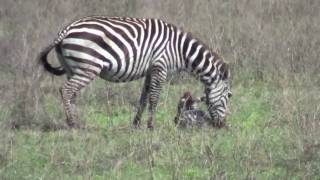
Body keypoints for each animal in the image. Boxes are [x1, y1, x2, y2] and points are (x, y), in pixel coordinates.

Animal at [38, 15, 231, 128]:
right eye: (229, 96)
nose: (222, 125)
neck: (180, 49)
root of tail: (67, 29)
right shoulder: (160, 67)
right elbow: (154, 98)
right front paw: (151, 126)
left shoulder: (150, 71)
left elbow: (143, 98)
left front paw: (136, 124)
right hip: (88, 67)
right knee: (66, 90)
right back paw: (72, 124)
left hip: (73, 68)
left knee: (73, 94)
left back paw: (77, 122)